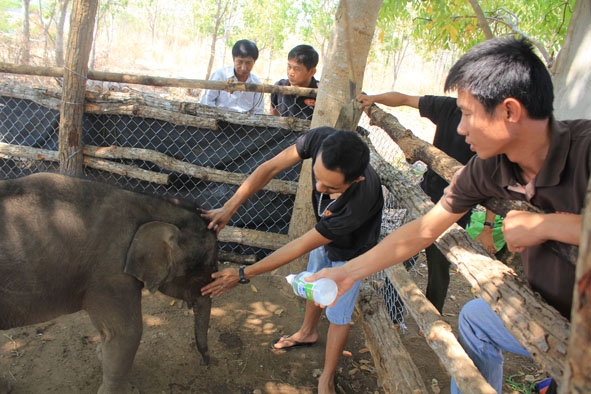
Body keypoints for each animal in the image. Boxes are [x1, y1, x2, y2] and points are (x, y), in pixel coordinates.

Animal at [0, 174, 217, 394]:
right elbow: (126, 333)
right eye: (205, 267)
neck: (151, 203)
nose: (204, 362)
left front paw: (101, 356)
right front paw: (126, 390)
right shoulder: (110, 272)